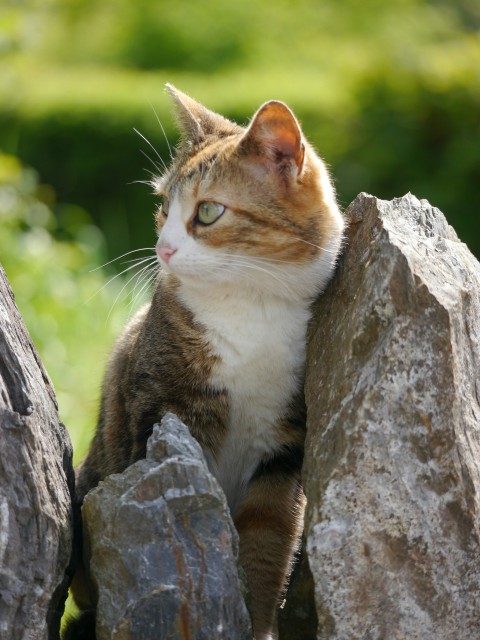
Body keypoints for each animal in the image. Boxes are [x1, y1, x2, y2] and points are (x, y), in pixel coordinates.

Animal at [68, 86, 344, 640]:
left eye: (210, 212)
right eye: (162, 207)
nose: (162, 248)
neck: (250, 307)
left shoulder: (285, 446)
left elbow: (267, 538)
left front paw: (257, 621)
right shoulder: (165, 410)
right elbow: (187, 503)